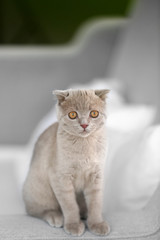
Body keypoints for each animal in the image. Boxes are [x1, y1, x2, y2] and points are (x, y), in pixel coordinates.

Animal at [22, 88, 110, 236]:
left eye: (94, 113)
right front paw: (73, 225)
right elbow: (70, 205)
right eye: (73, 115)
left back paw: (84, 213)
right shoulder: (60, 177)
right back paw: (56, 217)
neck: (85, 146)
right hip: (39, 187)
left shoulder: (97, 176)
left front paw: (97, 224)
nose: (84, 124)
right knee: (36, 210)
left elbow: (96, 203)